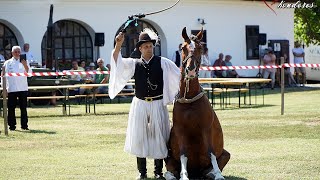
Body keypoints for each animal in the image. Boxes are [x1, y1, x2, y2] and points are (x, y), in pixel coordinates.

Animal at [165, 27, 230, 179]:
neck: (189, 99)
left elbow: (211, 152)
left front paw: (218, 174)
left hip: (226, 154)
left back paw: (211, 173)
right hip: (168, 157)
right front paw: (184, 175)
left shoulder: (206, 128)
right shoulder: (180, 130)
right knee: (169, 169)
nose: (191, 70)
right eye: (183, 47)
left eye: (200, 48)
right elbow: (183, 153)